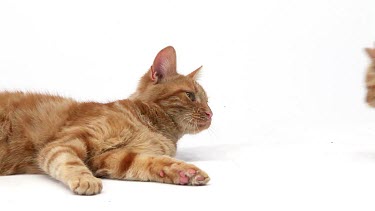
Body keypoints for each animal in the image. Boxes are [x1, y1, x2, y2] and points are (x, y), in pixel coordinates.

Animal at [0, 46, 212, 195]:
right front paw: (85, 180)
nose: (211, 113)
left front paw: (184, 172)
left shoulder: (111, 158)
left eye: (208, 101)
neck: (150, 126)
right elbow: (68, 161)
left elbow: (150, 162)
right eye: (190, 96)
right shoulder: (65, 141)